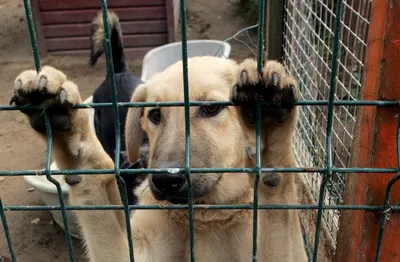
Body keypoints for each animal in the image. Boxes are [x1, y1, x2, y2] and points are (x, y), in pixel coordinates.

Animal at [11, 55, 306, 260]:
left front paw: (267, 136)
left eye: (211, 109)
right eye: (154, 115)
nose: (166, 181)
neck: (208, 216)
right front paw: (70, 131)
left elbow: (279, 205)